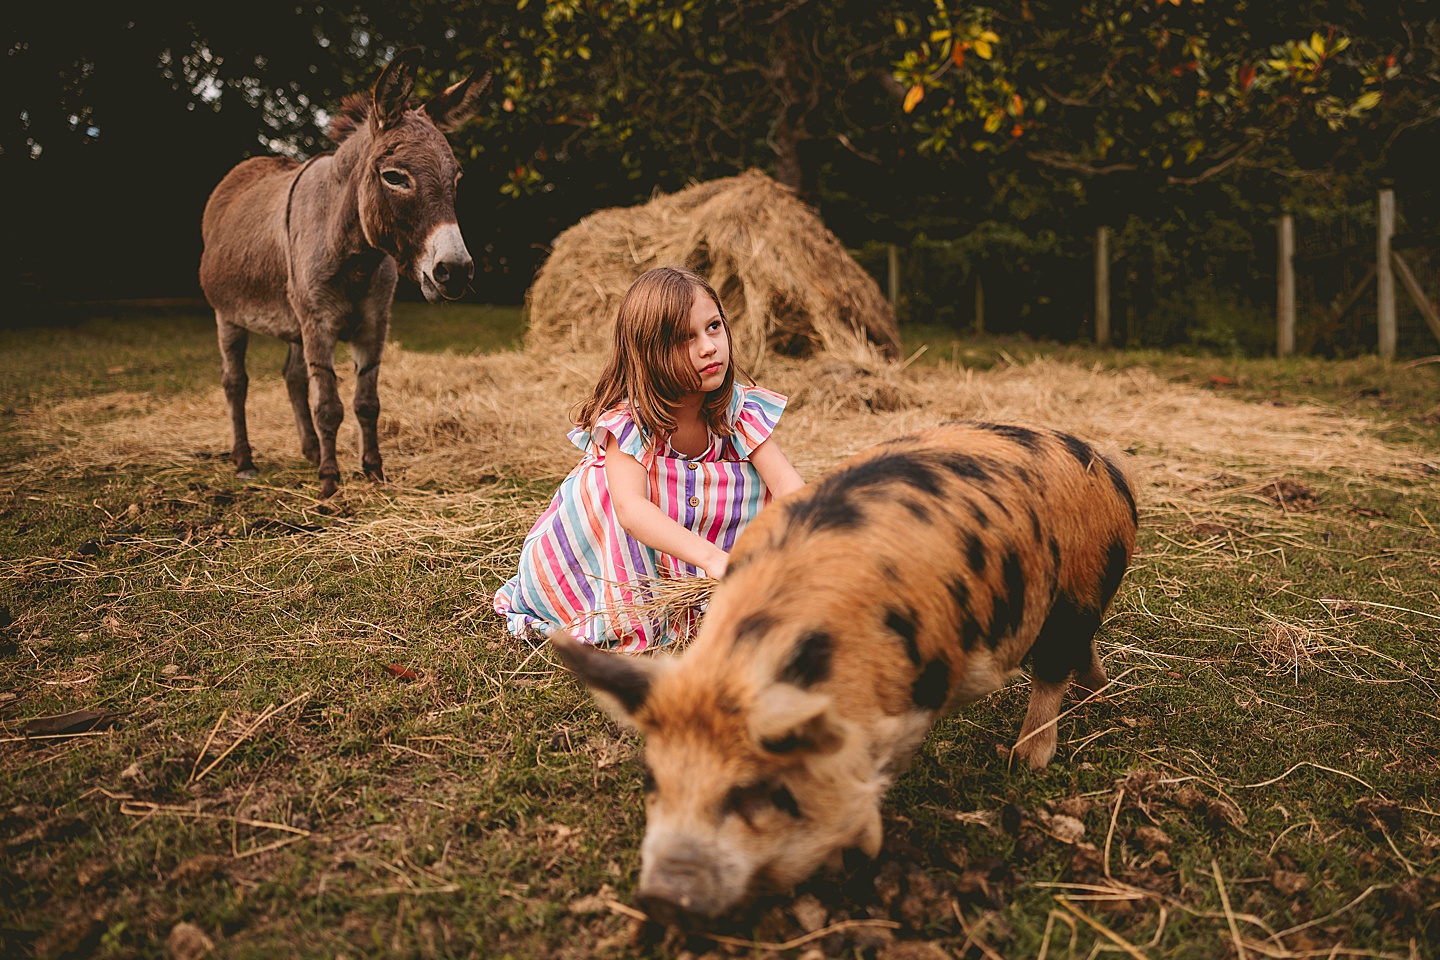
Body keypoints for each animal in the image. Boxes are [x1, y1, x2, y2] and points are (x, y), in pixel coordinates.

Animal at [547, 420, 1134, 921]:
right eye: (652, 777)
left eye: (756, 791)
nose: (662, 899)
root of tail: (1103, 463)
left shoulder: (907, 705)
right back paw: (1102, 695)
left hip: (1079, 586)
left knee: (1054, 668)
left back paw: (1024, 759)